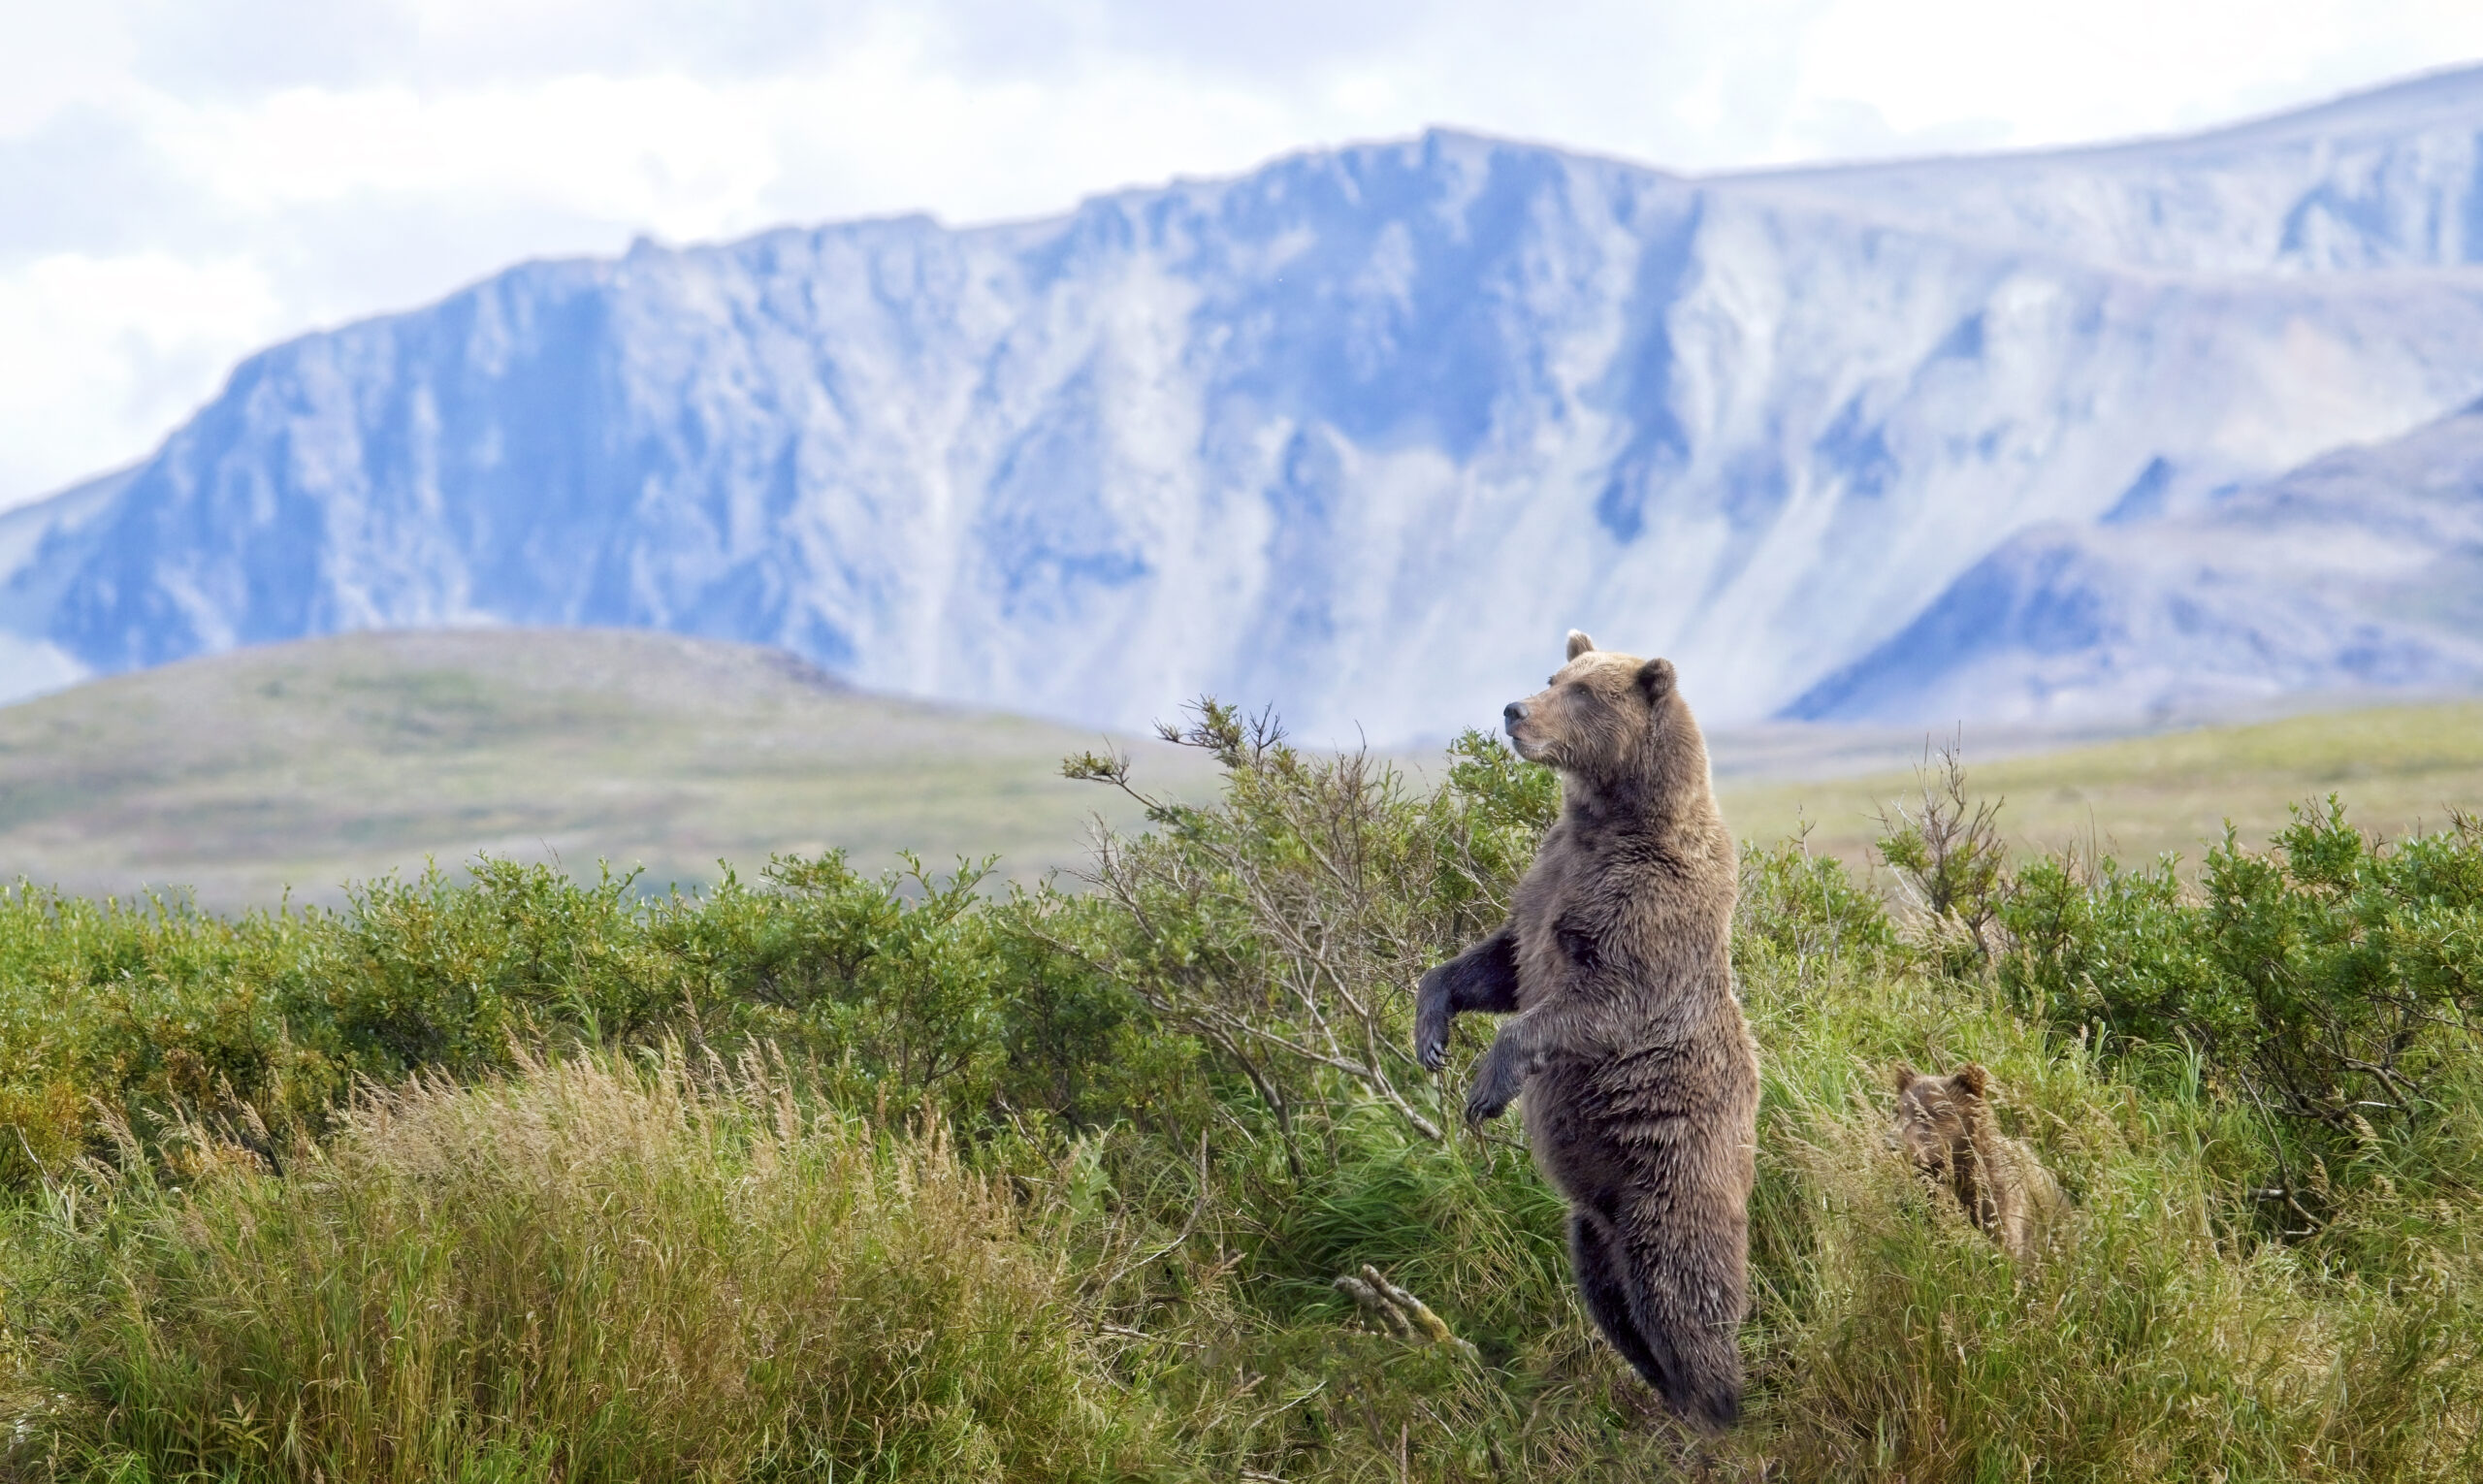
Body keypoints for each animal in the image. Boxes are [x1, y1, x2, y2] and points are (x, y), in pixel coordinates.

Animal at [1430, 629, 1757, 1429]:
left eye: (1583, 692)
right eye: (1555, 674)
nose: (1514, 709)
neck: (1610, 818)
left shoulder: (1651, 902)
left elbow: (1608, 999)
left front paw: (1488, 1082)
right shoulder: (1545, 881)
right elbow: (1504, 963)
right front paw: (1432, 1022)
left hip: (1670, 1176)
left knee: (1681, 1290)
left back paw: (1714, 1409)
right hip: (1591, 1221)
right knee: (1611, 1298)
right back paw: (1665, 1396)